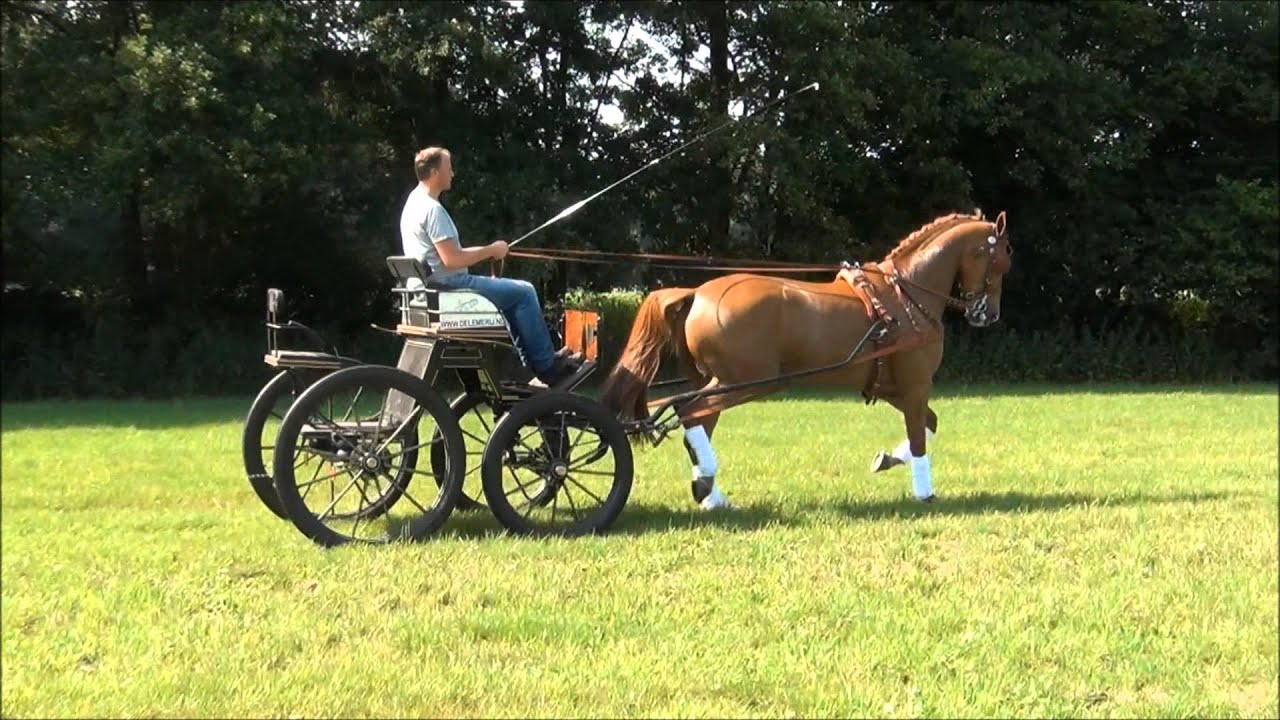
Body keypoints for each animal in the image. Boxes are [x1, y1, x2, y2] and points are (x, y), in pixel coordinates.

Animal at [598, 210, 1013, 509]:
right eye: (1000, 262)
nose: (989, 314)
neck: (905, 297)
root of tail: (696, 292)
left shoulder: (893, 388)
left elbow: (928, 425)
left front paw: (886, 460)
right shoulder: (915, 385)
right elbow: (919, 436)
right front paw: (925, 491)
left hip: (718, 381)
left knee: (698, 420)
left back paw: (710, 492)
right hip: (743, 381)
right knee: (689, 411)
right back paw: (707, 484)